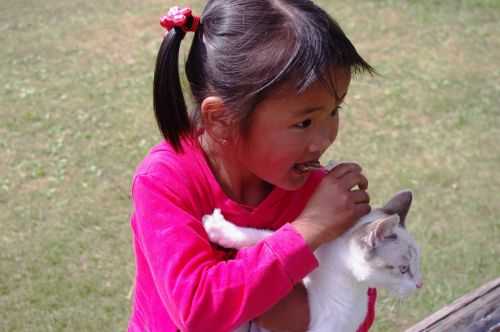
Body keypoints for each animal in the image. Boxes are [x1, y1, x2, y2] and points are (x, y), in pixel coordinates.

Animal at [202, 189, 422, 332]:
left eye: (415, 266)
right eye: (404, 269)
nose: (420, 285)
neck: (337, 263)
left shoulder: (330, 322)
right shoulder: (309, 252)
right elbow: (270, 238)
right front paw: (218, 228)